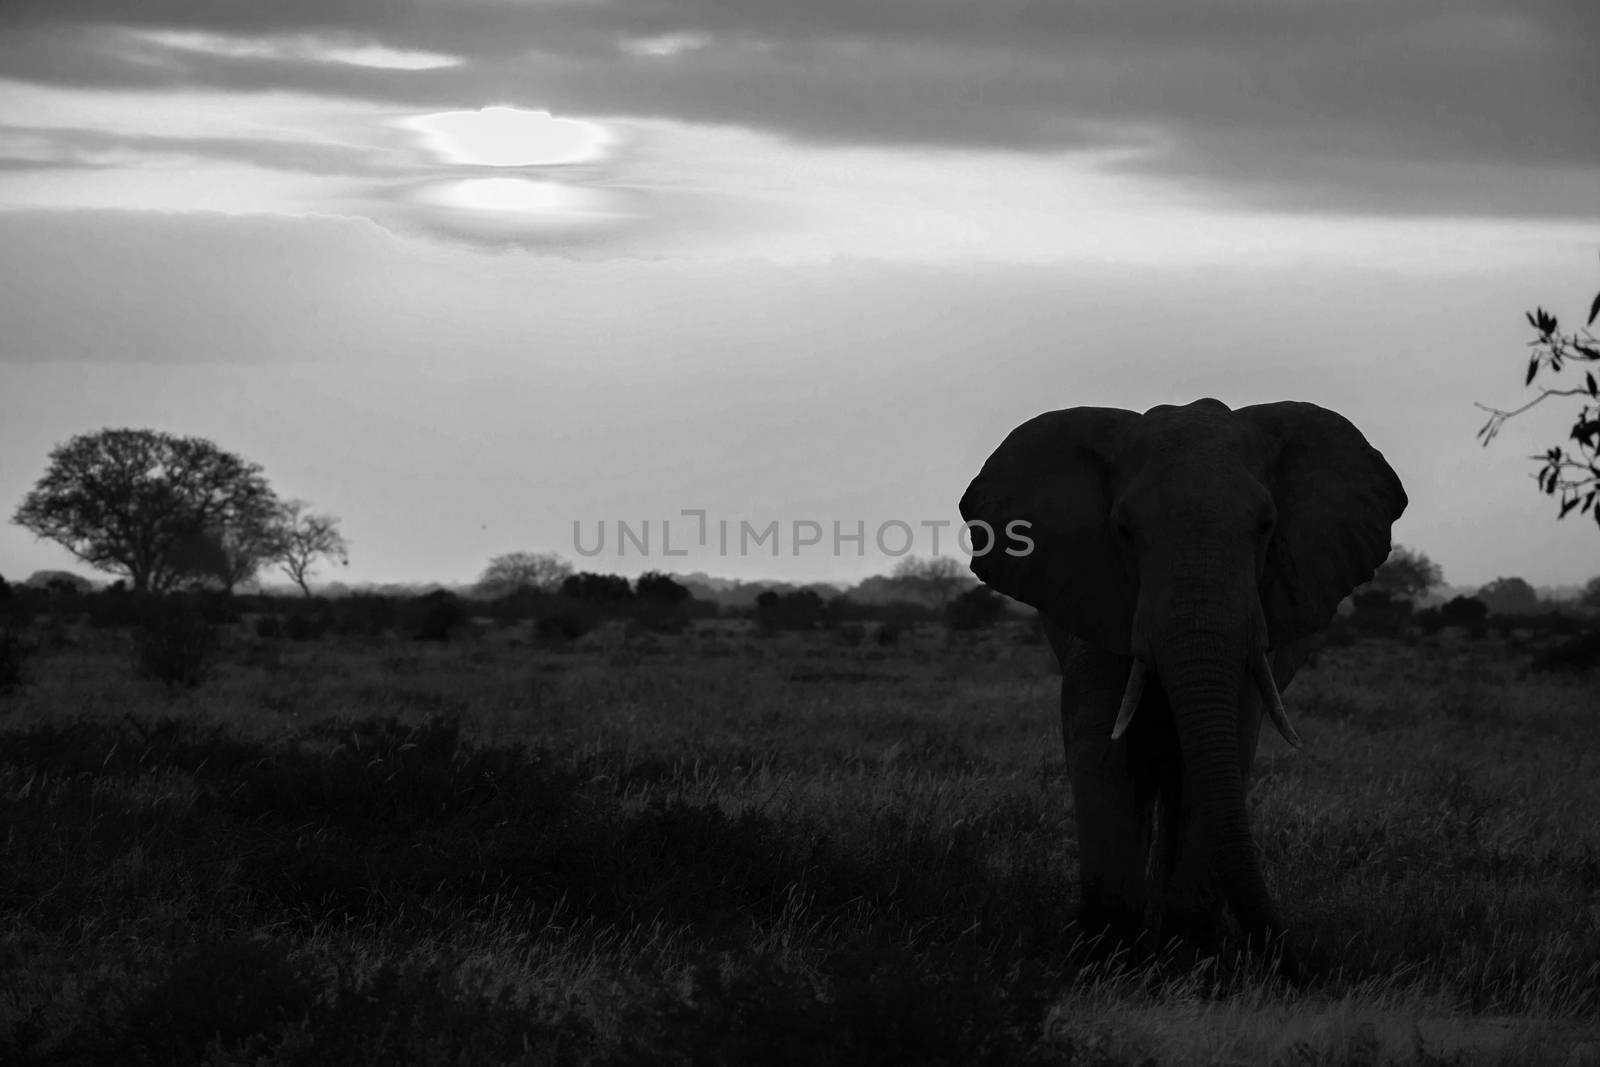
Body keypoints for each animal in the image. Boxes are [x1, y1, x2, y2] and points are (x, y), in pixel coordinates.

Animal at [953, 396, 1408, 972]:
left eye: (1267, 526)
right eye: (1123, 530)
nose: (1299, 962)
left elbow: (1223, 752)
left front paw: (1187, 962)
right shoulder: (1098, 601)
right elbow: (1101, 746)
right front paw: (1105, 957)